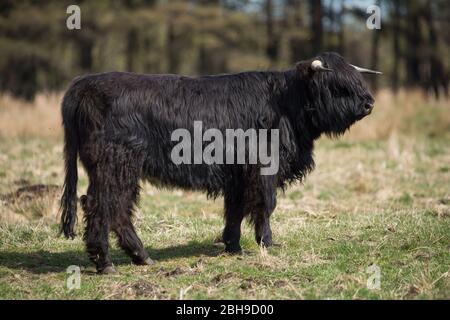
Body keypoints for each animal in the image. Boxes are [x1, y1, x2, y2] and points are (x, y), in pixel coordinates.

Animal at [60, 52, 380, 272]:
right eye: (337, 86)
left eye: (356, 80)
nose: (369, 103)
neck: (286, 105)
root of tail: (84, 84)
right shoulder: (263, 168)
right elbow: (265, 206)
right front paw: (267, 243)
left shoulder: (238, 174)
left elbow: (235, 210)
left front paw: (233, 246)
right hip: (116, 163)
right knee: (103, 205)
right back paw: (105, 262)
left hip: (115, 167)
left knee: (116, 208)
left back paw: (141, 256)